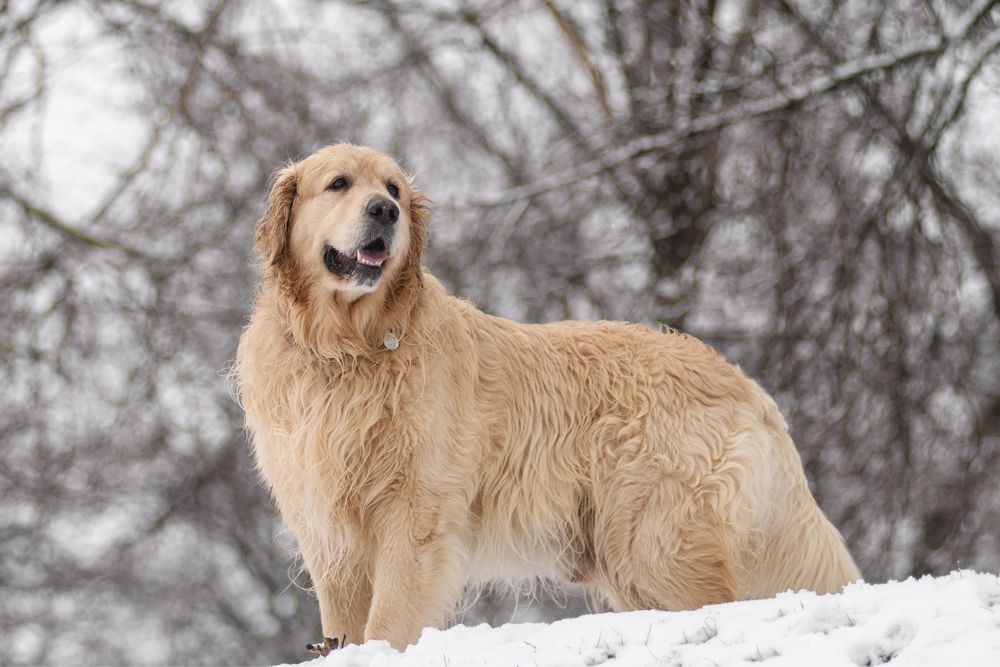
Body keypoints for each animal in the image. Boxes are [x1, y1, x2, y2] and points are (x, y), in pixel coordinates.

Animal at [234, 145, 860, 652]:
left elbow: (387, 622)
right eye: (339, 183)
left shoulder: (414, 516)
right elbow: (344, 625)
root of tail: (744, 383)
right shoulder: (327, 528)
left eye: (392, 189)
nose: (385, 212)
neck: (348, 351)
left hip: (656, 539)